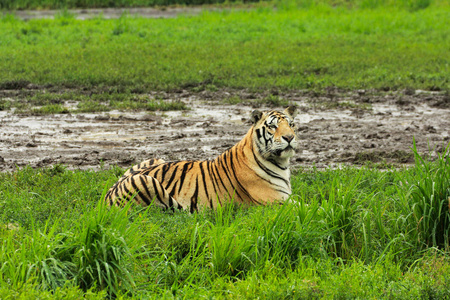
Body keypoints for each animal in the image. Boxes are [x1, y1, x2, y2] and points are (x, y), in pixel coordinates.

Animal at [105, 105, 298, 211]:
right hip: (144, 180)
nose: (289, 137)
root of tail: (106, 196)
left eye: (291, 124)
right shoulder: (278, 202)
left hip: (155, 159)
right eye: (273, 127)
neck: (281, 163)